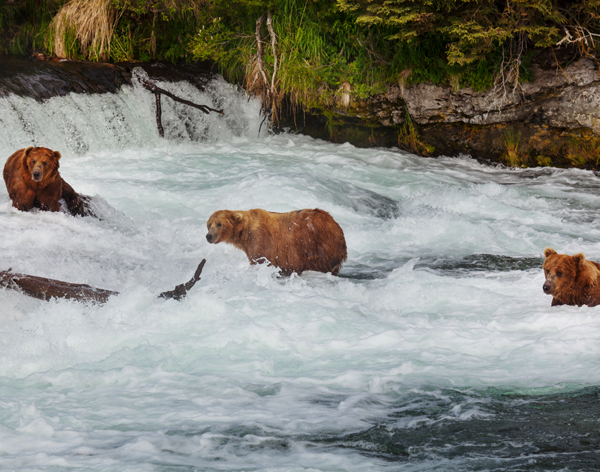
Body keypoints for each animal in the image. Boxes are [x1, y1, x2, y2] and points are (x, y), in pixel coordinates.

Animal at [206, 207, 346, 276]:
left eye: (219, 224)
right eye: (209, 224)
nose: (209, 236)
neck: (245, 233)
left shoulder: (261, 243)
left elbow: (261, 261)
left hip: (317, 246)